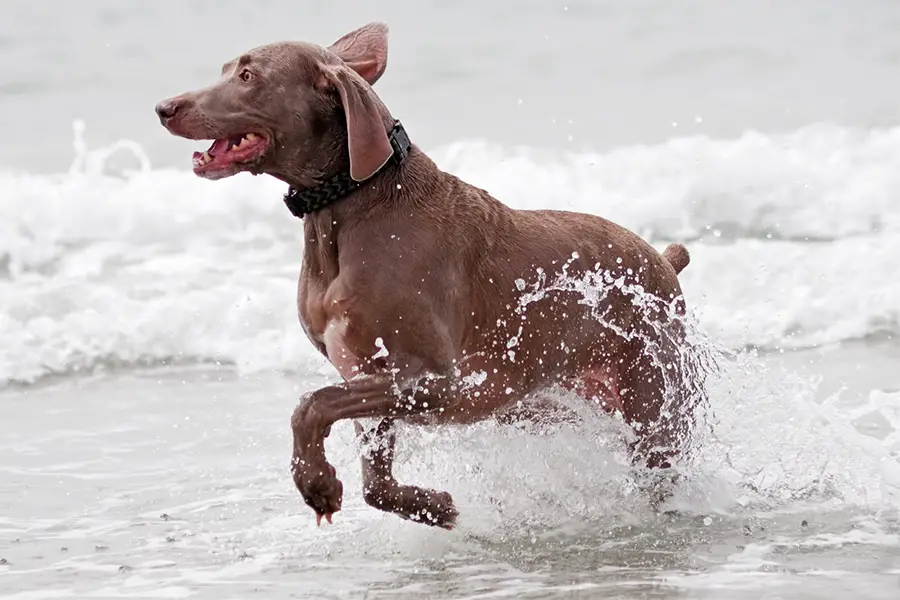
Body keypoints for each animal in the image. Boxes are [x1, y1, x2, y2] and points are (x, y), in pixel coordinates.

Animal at [158, 22, 700, 528]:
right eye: (227, 69)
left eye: (249, 77)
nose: (164, 106)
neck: (349, 204)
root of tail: (663, 260)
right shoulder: (364, 371)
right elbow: (373, 481)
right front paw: (431, 505)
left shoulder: (444, 381)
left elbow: (311, 403)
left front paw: (316, 481)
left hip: (652, 400)